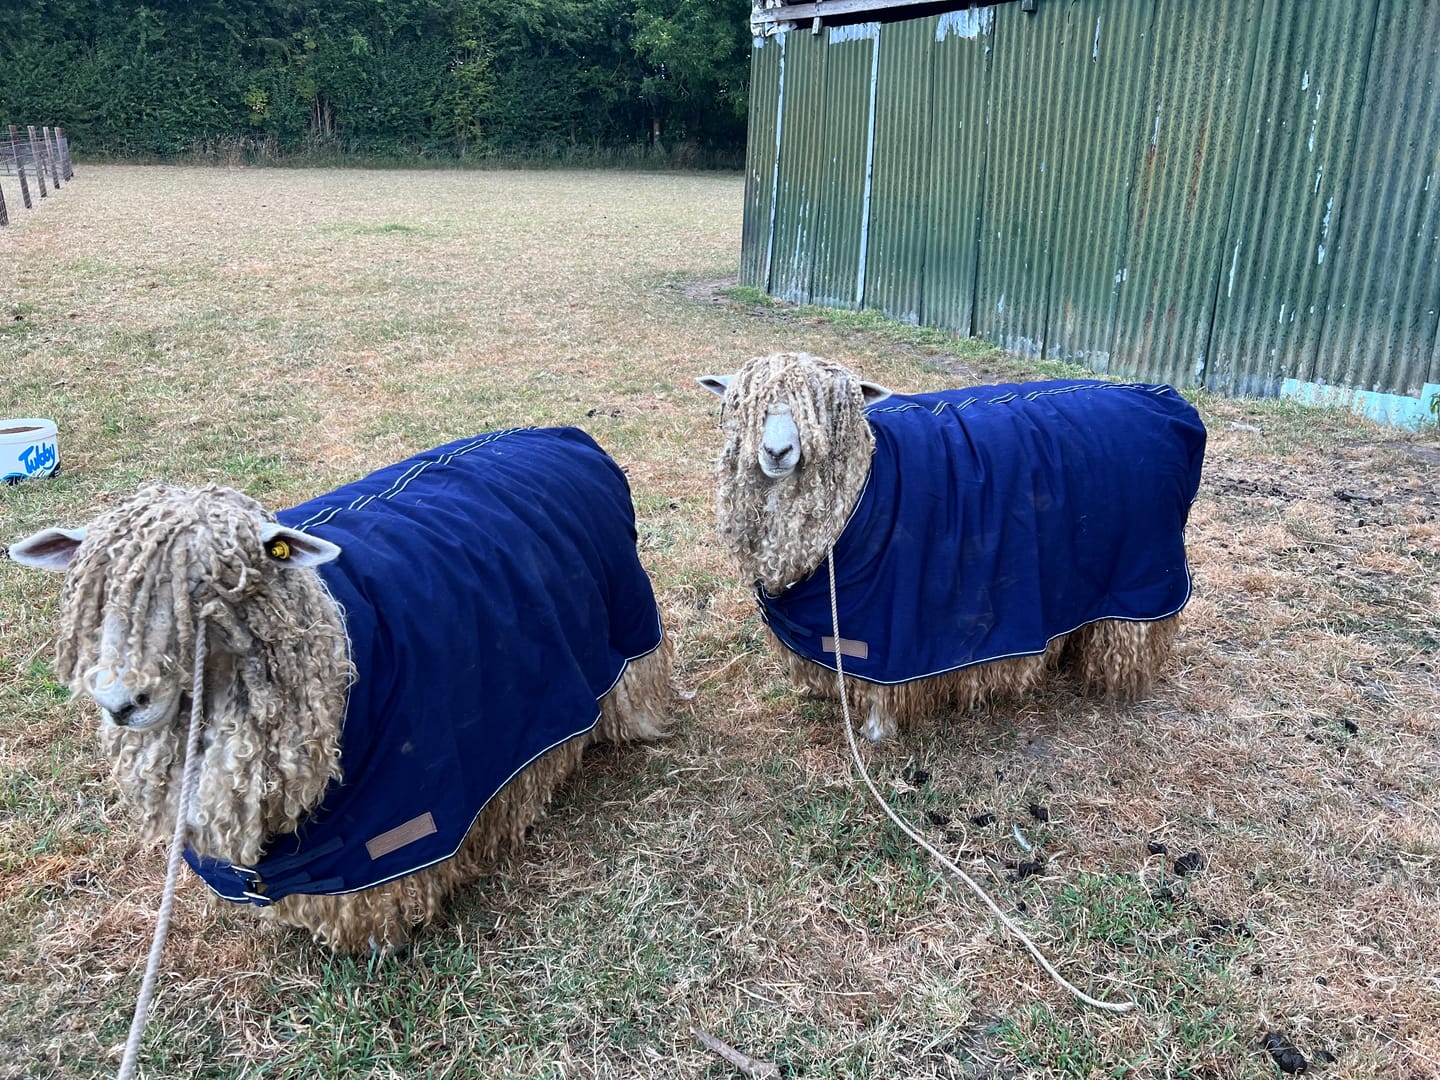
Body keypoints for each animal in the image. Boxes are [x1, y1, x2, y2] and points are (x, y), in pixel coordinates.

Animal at [8, 426, 673, 953]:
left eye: (218, 587)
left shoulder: (402, 817)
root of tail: (560, 432)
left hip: (628, 620)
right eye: (93, 593)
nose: (122, 702)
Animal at [699, 352, 1206, 742]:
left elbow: (881, 687)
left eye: (832, 411)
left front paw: (876, 731)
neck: (865, 485)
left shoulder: (888, 631)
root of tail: (1164, 397)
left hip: (1144, 572)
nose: (777, 453)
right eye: (745, 407)